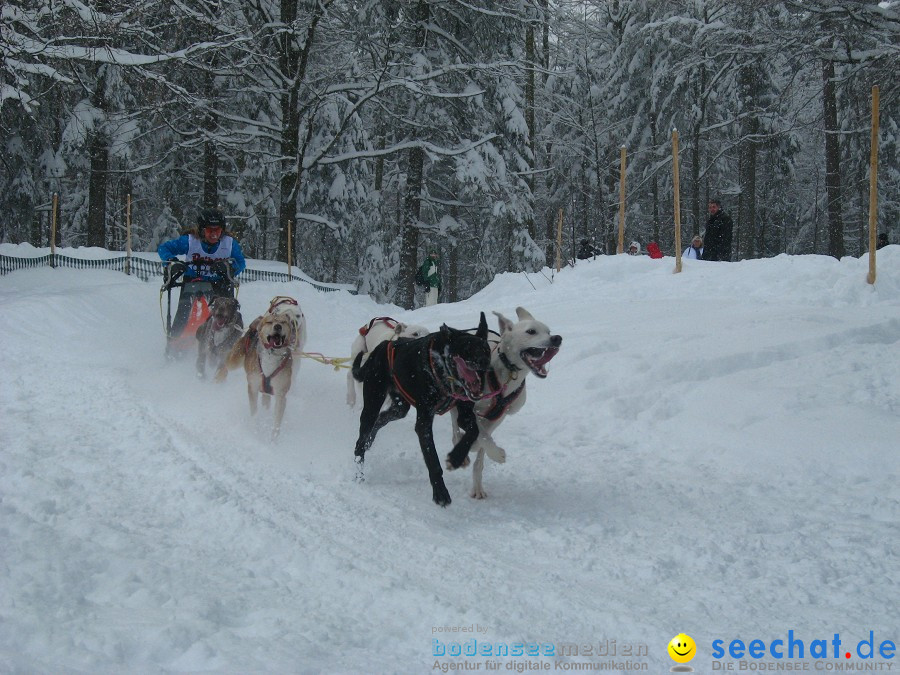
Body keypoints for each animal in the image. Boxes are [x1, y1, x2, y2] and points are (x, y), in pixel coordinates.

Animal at [216, 296, 308, 438]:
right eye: (270, 322)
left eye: (284, 322)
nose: (278, 326)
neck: (271, 356)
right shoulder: (252, 388)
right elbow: (254, 412)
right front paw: (255, 429)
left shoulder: (281, 394)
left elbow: (276, 422)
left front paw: (273, 439)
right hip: (235, 360)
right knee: (225, 365)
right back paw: (219, 377)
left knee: (266, 400)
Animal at [352, 314, 492, 510]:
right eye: (467, 350)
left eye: (486, 349)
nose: (484, 362)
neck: (443, 368)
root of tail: (382, 346)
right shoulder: (424, 423)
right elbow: (432, 460)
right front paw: (440, 493)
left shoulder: (464, 414)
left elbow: (473, 431)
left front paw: (456, 457)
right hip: (372, 402)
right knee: (361, 439)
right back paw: (359, 472)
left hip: (399, 407)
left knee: (381, 419)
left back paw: (370, 441)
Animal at [450, 308, 564, 500]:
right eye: (531, 331)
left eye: (548, 331)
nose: (557, 338)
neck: (506, 375)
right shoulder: (467, 409)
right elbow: (481, 434)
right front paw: (495, 454)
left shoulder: (499, 415)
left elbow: (483, 438)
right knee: (454, 425)